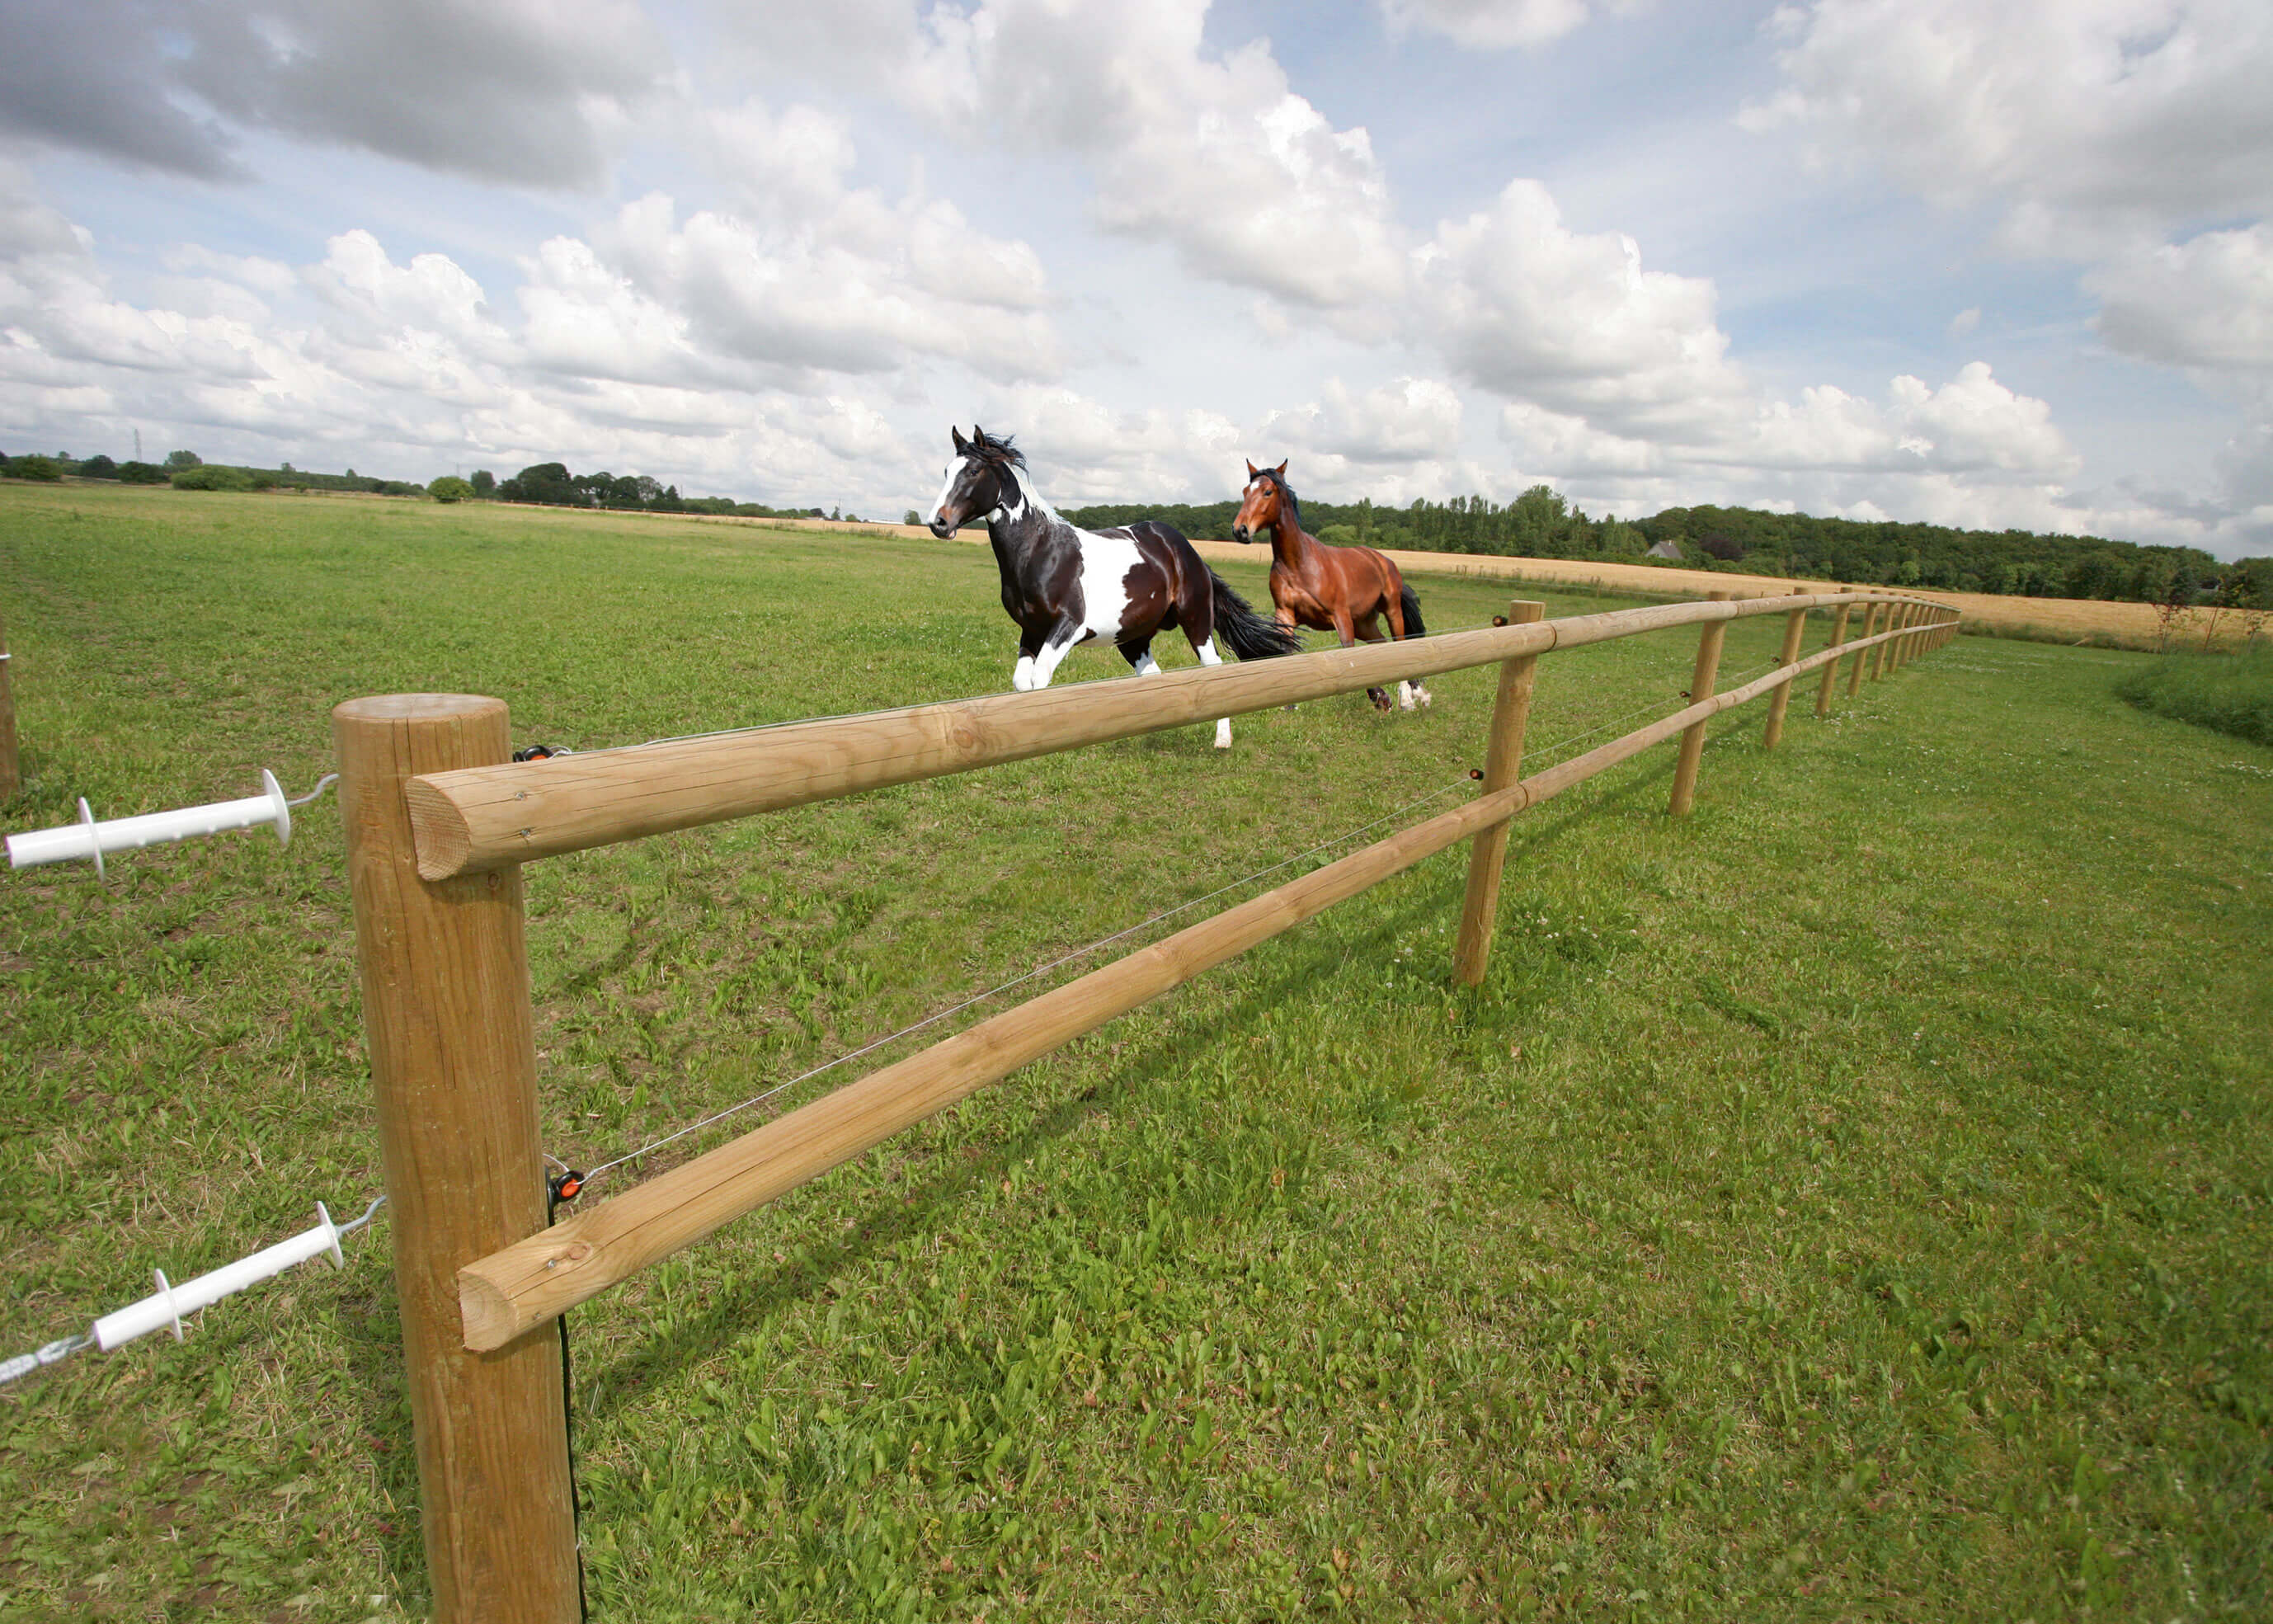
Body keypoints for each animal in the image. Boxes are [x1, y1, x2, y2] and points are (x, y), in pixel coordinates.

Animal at [922, 421, 1300, 741]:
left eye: (973, 471)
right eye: (946, 471)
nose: (937, 523)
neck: (1041, 552)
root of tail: (1187, 552)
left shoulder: (1068, 626)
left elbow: (1039, 679)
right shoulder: (1031, 630)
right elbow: (1021, 684)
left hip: (1196, 622)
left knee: (1214, 671)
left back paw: (1222, 740)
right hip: (1133, 638)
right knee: (1153, 677)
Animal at [1236, 454, 1427, 709]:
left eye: (1267, 492)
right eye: (1246, 491)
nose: (1240, 530)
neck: (1299, 564)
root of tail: (1384, 561)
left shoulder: (1341, 617)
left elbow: (1348, 652)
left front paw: (1380, 696)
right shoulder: (1285, 615)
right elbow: (1287, 651)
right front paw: (1289, 705)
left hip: (1392, 610)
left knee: (1400, 644)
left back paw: (1408, 699)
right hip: (1365, 624)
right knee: (1382, 644)